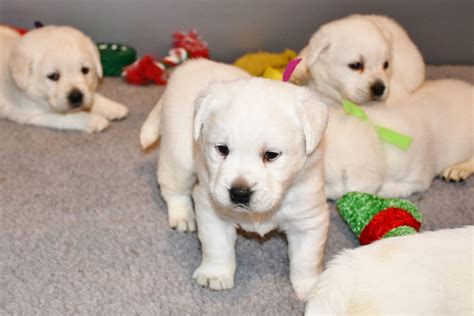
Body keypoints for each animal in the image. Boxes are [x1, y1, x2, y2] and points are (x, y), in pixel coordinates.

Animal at [0, 25, 128, 132]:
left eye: (84, 70)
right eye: (53, 76)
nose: (76, 96)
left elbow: (93, 96)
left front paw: (114, 107)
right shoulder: (33, 114)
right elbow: (70, 116)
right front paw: (94, 120)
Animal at [143, 58, 332, 298]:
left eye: (271, 155)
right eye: (222, 149)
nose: (239, 193)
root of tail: (188, 66)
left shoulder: (309, 219)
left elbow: (307, 259)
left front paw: (312, 288)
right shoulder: (212, 209)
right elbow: (217, 246)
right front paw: (215, 275)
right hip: (179, 157)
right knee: (172, 189)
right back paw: (182, 216)